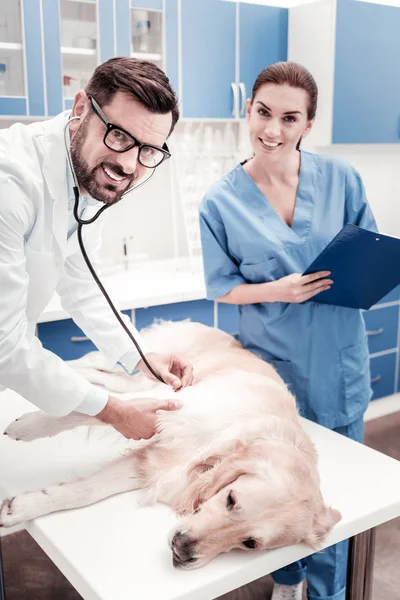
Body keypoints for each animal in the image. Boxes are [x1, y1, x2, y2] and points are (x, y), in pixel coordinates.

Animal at [0, 322, 340, 568]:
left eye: (250, 543)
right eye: (231, 499)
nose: (183, 550)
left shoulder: (153, 465)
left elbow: (86, 490)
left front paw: (23, 507)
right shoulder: (170, 409)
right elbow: (81, 413)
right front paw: (29, 426)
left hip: (143, 380)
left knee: (107, 380)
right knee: (96, 367)